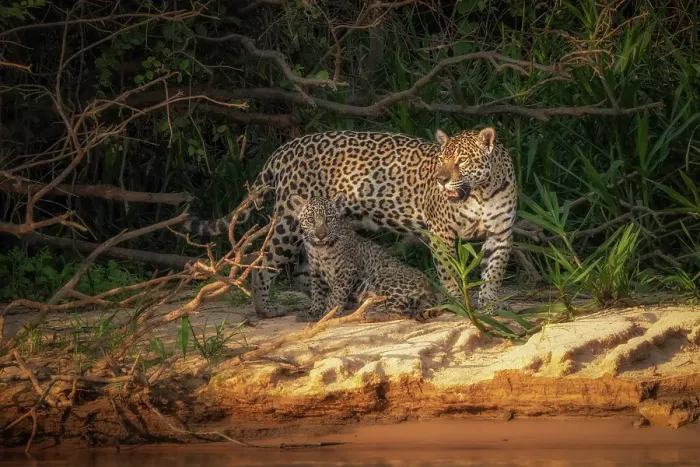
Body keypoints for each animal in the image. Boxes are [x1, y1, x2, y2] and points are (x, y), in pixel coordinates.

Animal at [290, 193, 438, 322]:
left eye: (329, 219)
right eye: (311, 220)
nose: (321, 235)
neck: (319, 249)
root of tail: (430, 289)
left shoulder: (346, 270)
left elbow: (337, 294)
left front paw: (329, 313)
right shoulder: (316, 271)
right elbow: (317, 292)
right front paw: (313, 312)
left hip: (383, 275)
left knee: (400, 313)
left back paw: (369, 315)